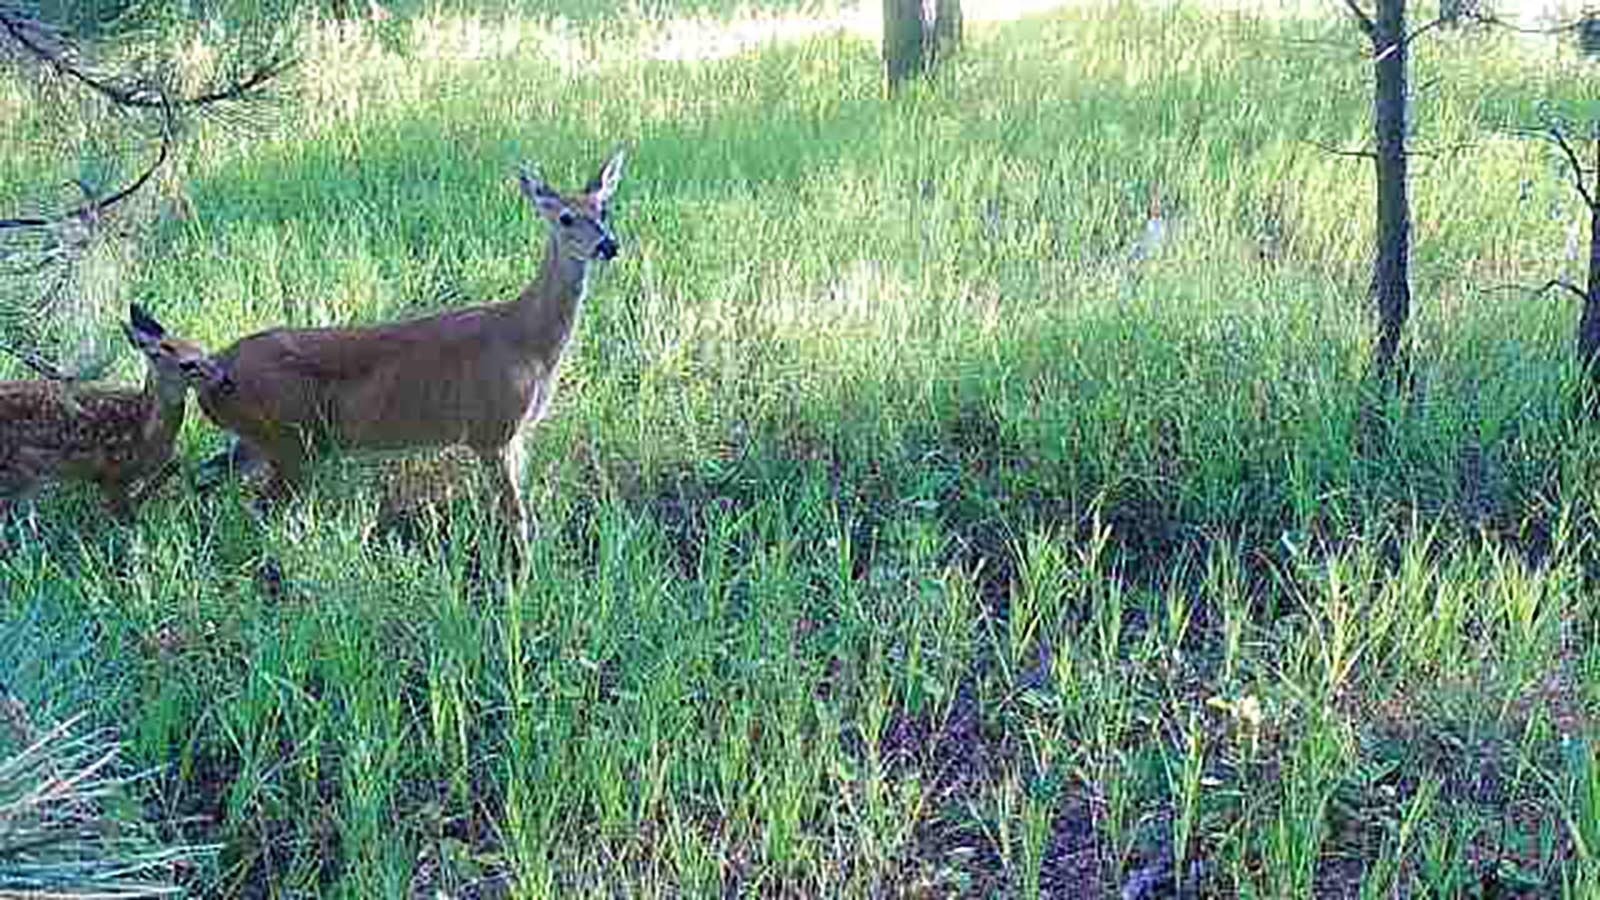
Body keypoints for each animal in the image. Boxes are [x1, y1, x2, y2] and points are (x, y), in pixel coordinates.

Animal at [190, 152, 627, 547]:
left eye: (604, 208)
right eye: (565, 217)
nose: (609, 245)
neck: (530, 342)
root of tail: (216, 368)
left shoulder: (515, 436)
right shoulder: (492, 430)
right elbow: (517, 520)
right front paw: (520, 578)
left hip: (260, 438)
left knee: (202, 478)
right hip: (292, 439)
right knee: (259, 506)